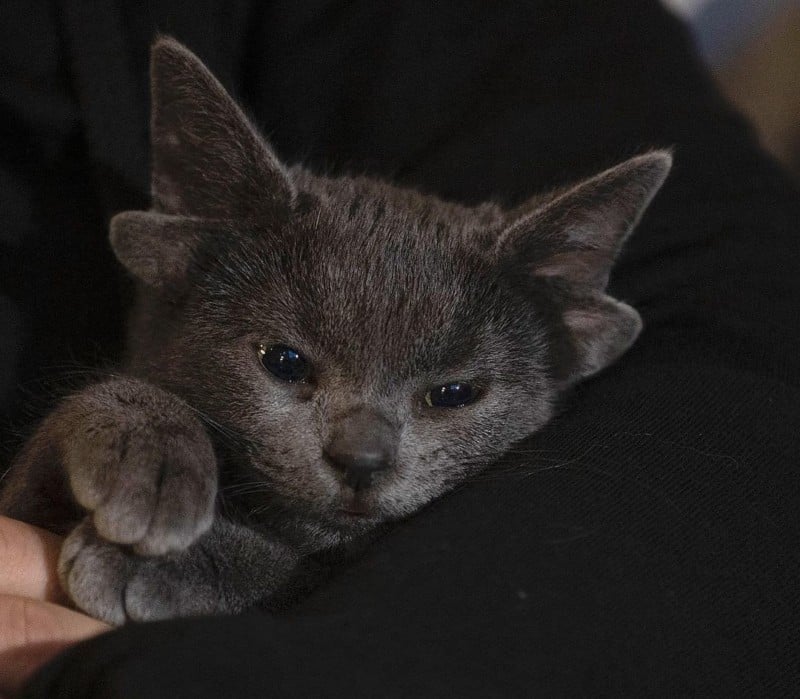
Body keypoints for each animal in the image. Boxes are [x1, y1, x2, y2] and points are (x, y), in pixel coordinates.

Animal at [0, 38, 668, 628]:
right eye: (285, 361)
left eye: (454, 394)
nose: (361, 460)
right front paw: (149, 450)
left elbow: (295, 574)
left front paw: (169, 562)